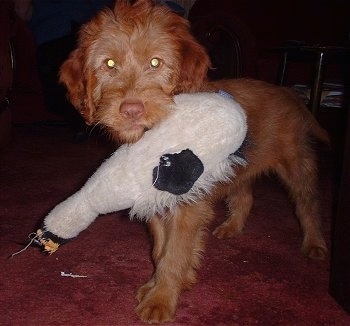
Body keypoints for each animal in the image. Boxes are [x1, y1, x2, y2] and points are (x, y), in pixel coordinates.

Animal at [59, 0, 328, 322]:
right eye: (109, 64)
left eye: (156, 63)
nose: (131, 109)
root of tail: (289, 92)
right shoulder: (157, 201)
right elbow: (160, 248)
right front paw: (159, 284)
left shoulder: (187, 207)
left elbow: (174, 253)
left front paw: (161, 298)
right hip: (239, 168)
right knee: (244, 195)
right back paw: (231, 227)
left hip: (297, 164)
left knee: (308, 205)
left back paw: (314, 243)